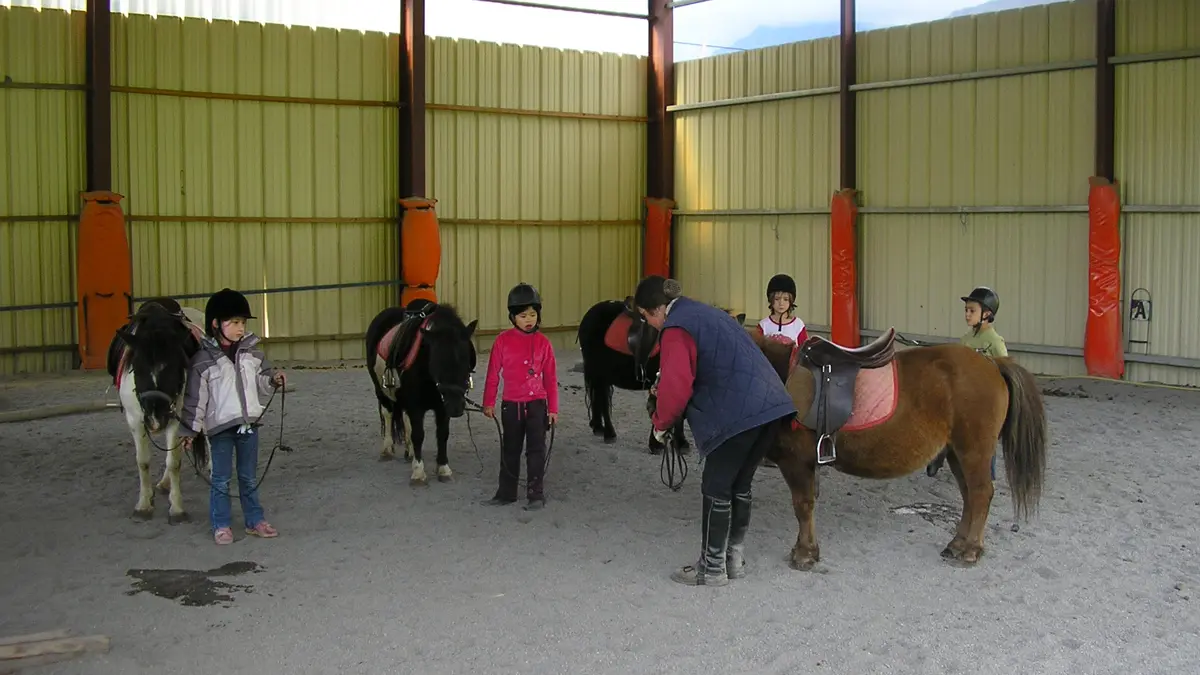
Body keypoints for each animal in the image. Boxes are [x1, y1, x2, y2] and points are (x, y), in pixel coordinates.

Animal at [106, 296, 207, 523]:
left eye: (174, 367)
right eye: (136, 367)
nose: (155, 418)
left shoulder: (176, 418)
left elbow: (174, 462)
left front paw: (177, 508)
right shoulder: (135, 420)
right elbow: (143, 462)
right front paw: (144, 504)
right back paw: (164, 484)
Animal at [364, 299, 477, 482]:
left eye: (467, 359)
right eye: (437, 361)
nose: (456, 407)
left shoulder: (442, 406)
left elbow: (442, 433)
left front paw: (443, 468)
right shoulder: (416, 406)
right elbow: (418, 435)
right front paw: (418, 472)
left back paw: (409, 452)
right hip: (380, 390)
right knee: (388, 414)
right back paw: (387, 449)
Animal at [578, 297, 744, 451]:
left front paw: (679, 442)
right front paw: (657, 444)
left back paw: (598, 427)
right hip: (599, 372)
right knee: (602, 401)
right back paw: (609, 433)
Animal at [753, 331, 1046, 566]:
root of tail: (992, 363)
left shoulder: (796, 462)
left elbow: (802, 506)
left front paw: (805, 552)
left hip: (973, 451)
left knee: (981, 494)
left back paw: (971, 549)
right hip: (956, 453)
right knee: (969, 496)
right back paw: (959, 543)